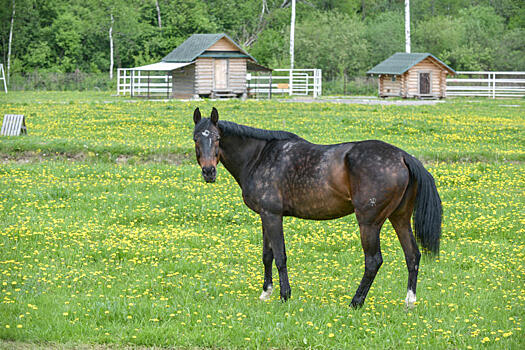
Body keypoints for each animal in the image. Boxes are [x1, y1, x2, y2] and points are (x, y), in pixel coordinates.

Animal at [190, 107, 440, 308]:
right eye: (195, 139)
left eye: (217, 138)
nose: (209, 172)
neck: (259, 156)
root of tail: (403, 156)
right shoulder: (265, 216)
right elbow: (267, 255)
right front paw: (265, 293)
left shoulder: (273, 216)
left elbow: (280, 256)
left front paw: (284, 295)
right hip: (400, 218)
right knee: (412, 255)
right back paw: (409, 301)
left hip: (369, 222)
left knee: (373, 261)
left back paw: (355, 302)